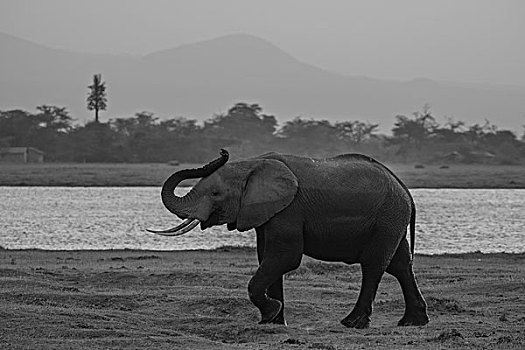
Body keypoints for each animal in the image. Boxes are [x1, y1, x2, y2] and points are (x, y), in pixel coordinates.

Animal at [147, 150, 426, 328]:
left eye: (216, 193)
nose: (223, 152)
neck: (251, 165)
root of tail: (406, 190)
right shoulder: (266, 212)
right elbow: (267, 258)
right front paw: (272, 321)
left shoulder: (289, 210)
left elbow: (285, 258)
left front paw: (271, 312)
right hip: (391, 220)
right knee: (401, 265)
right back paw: (412, 323)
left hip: (387, 217)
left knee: (374, 265)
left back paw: (352, 323)